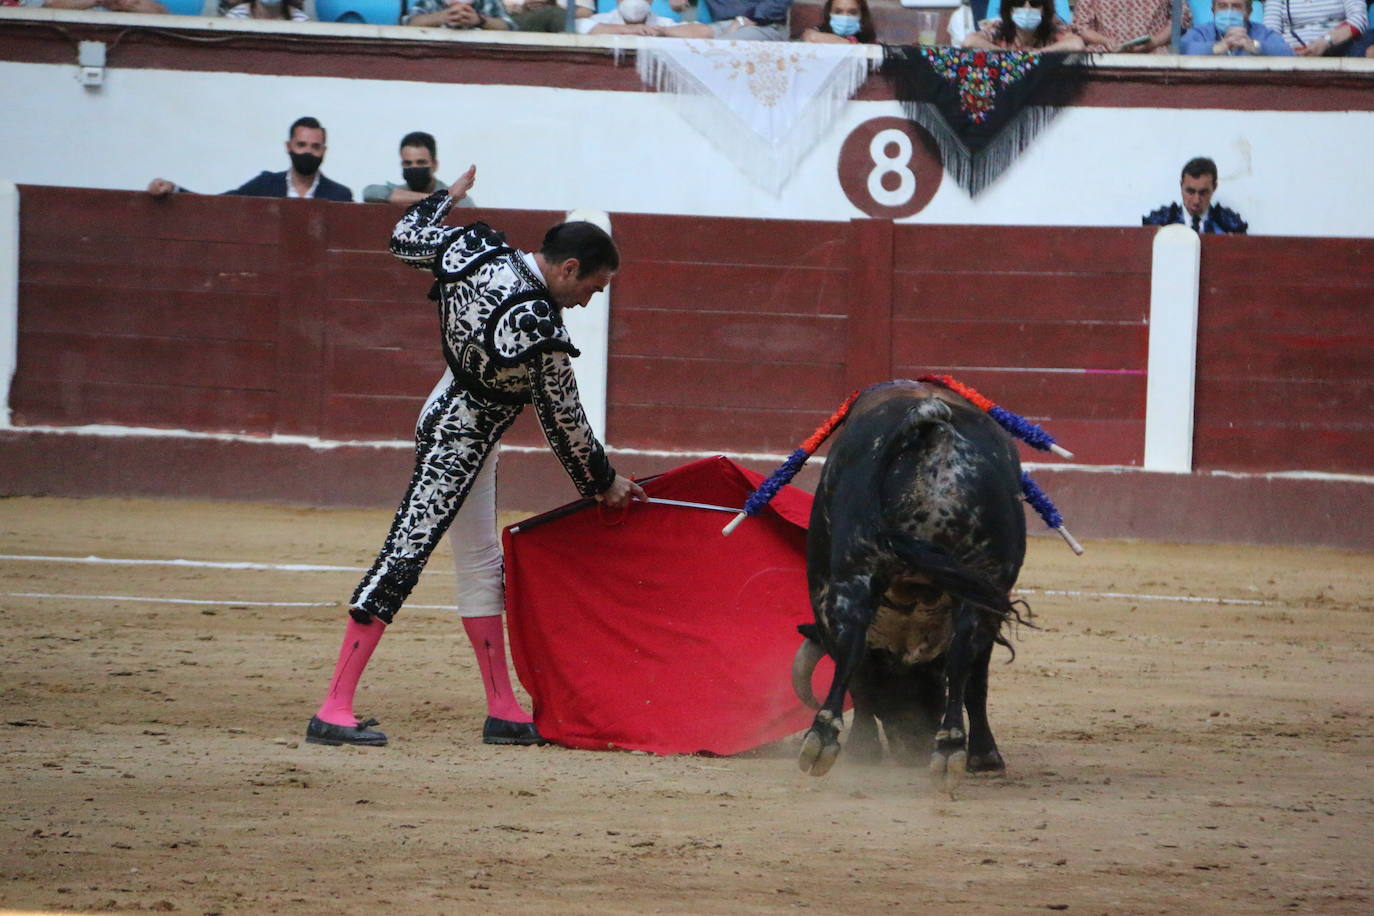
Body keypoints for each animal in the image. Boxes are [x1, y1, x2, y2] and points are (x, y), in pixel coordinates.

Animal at [791, 379, 1027, 796]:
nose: (914, 745)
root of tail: (931, 427)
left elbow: (862, 672)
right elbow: (971, 678)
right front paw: (985, 757)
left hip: (857, 569)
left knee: (854, 643)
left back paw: (826, 740)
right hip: (977, 582)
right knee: (963, 657)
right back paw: (950, 748)